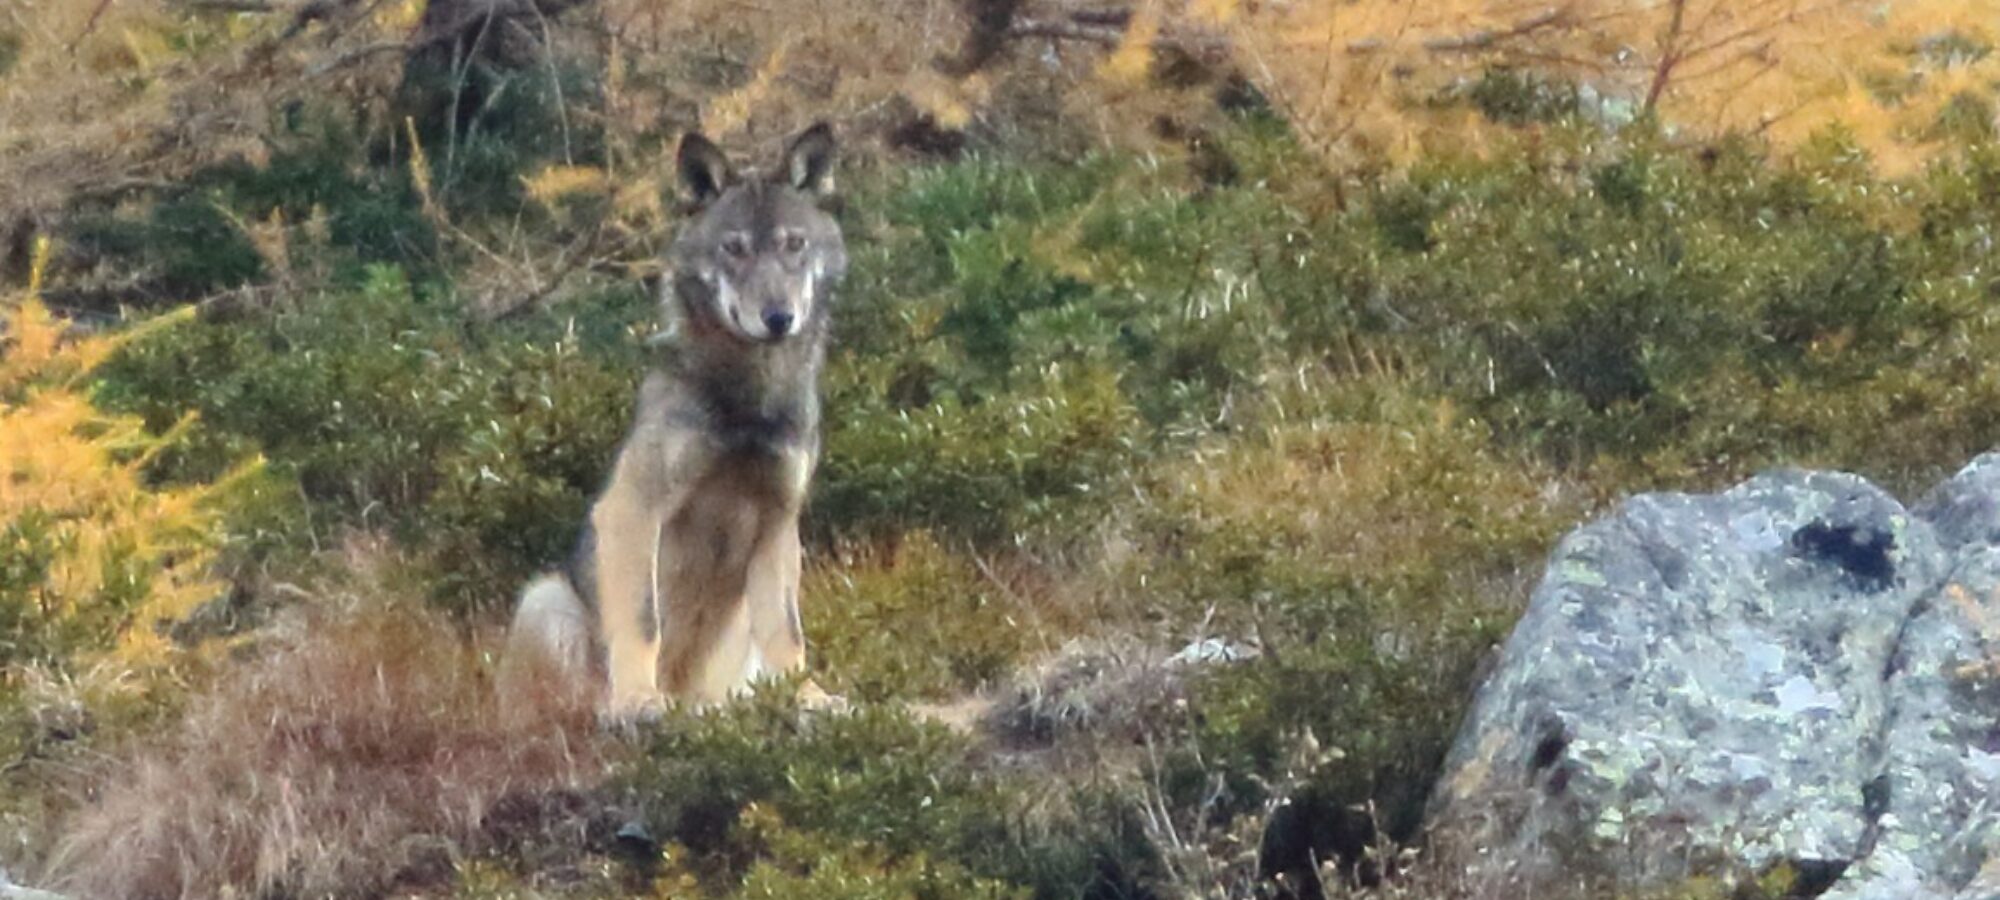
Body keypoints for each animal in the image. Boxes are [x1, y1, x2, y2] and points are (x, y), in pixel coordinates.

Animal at [503, 122, 848, 719]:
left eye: (794, 245)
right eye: (734, 249)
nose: (778, 318)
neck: (748, 402)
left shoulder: (779, 525)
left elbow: (788, 632)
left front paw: (809, 697)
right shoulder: (633, 510)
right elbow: (644, 620)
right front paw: (639, 699)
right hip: (545, 599)